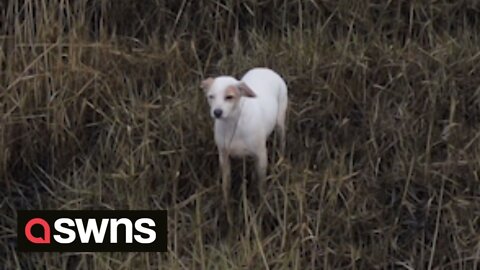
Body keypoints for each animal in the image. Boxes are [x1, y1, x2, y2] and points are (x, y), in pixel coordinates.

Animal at [201, 68, 286, 223]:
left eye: (229, 97)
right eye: (211, 96)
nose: (217, 112)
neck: (234, 125)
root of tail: (265, 69)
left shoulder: (261, 155)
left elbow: (261, 185)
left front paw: (261, 206)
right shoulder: (224, 157)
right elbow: (226, 185)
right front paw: (228, 211)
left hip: (280, 122)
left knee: (282, 141)